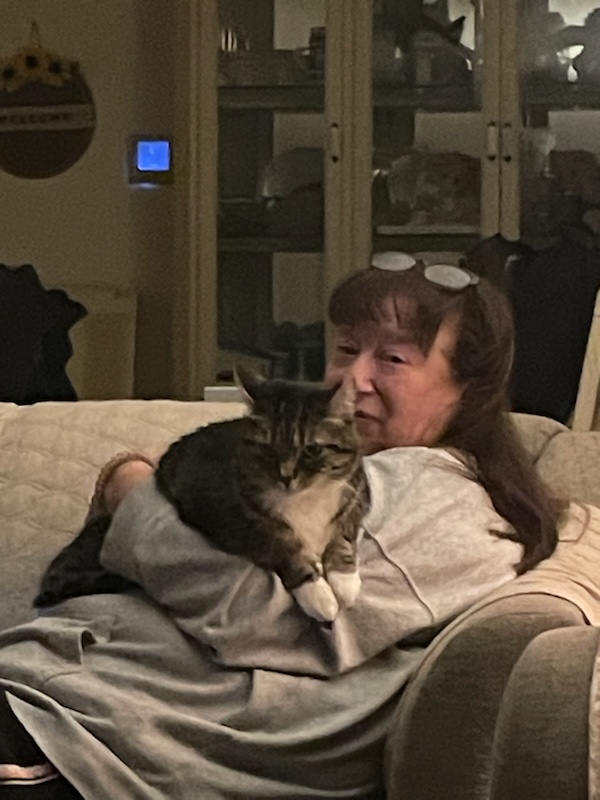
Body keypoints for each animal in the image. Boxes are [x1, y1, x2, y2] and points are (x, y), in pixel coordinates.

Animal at [35, 368, 369, 622]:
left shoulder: (357, 494)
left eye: (312, 450)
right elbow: (282, 542)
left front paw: (345, 581)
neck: (303, 501)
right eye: (267, 448)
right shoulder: (229, 516)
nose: (286, 477)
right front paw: (320, 595)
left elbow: (343, 533)